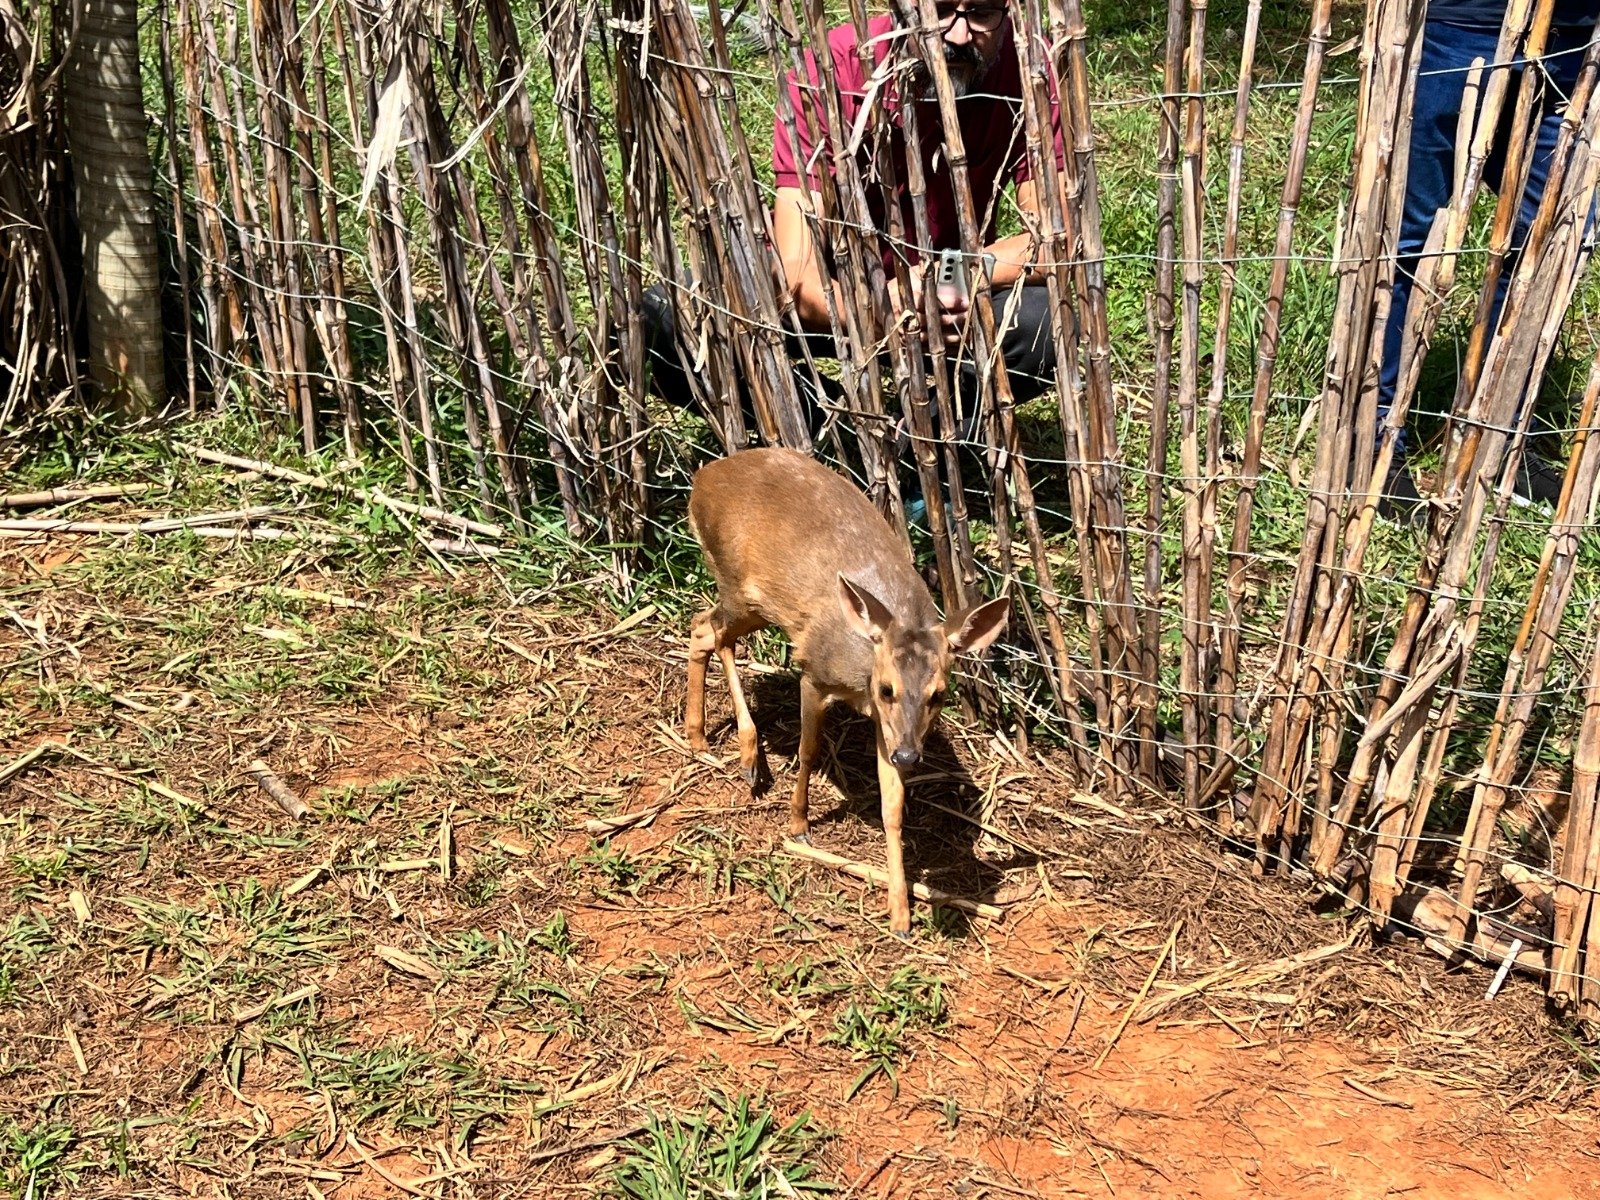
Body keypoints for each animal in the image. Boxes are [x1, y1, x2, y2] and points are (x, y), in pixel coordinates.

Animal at [681, 448, 1004, 940]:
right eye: (887, 688)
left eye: (940, 694)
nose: (910, 756)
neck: (862, 672)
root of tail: (702, 478)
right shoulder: (815, 672)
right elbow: (808, 750)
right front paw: (798, 825)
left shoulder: (888, 728)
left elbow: (893, 806)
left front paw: (901, 915)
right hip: (739, 585)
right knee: (710, 630)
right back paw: (746, 755)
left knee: (703, 629)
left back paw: (700, 737)